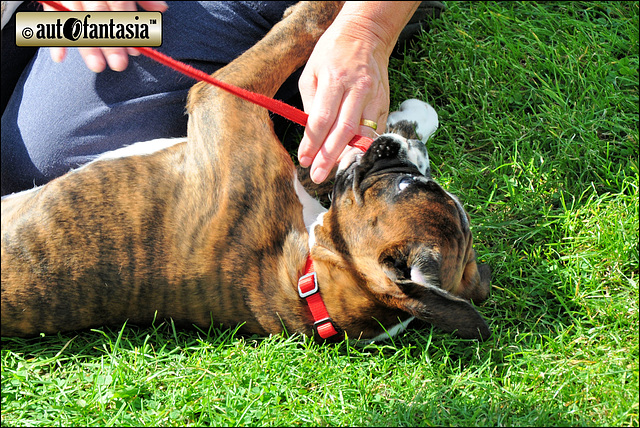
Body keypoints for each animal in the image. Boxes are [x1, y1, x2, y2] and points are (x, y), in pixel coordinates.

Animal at [1, 0, 490, 342]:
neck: (308, 278)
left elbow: (302, 27)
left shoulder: (223, 97)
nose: (400, 154)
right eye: (411, 184)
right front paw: (410, 123)